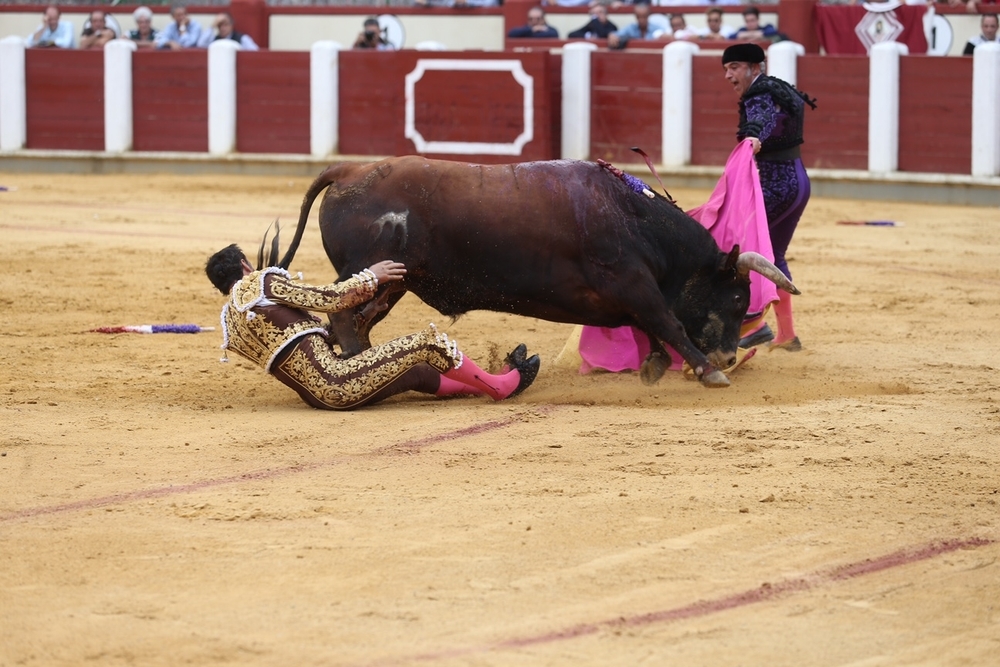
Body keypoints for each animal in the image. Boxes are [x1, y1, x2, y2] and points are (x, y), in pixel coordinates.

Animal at [280, 156, 796, 388]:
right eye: (737, 299)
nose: (729, 356)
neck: (632, 217)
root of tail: (349, 169)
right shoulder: (631, 281)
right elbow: (666, 321)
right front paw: (708, 372)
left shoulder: (629, 293)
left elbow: (649, 324)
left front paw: (653, 364)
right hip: (370, 273)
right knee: (344, 314)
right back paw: (354, 363)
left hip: (396, 282)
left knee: (358, 318)